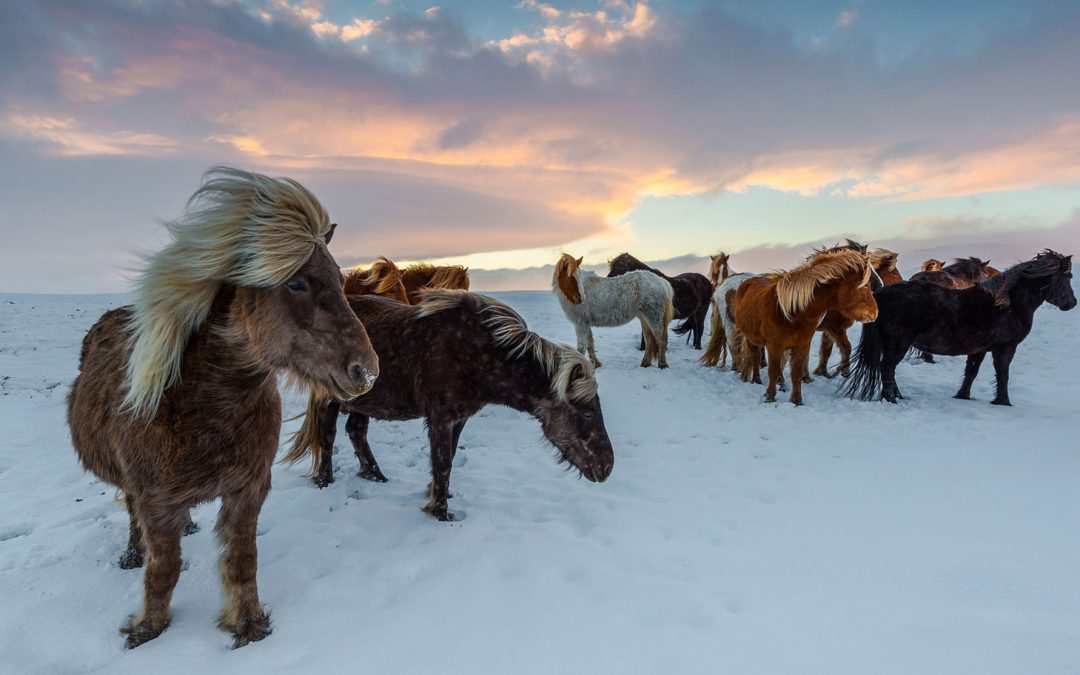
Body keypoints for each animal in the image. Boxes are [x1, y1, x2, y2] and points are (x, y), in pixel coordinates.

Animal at [66, 167, 379, 649]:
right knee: (132, 513)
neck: (204, 408)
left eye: (341, 280)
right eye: (296, 283)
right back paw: (133, 553)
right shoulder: (156, 501)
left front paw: (248, 626)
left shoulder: (248, 490)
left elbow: (242, 560)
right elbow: (163, 569)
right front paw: (147, 629)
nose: (366, 371)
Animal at [283, 291, 614, 520]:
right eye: (587, 410)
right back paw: (325, 481)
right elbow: (442, 461)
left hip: (364, 401)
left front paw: (439, 497)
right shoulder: (441, 418)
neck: (479, 352)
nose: (607, 467)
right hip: (330, 399)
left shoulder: (459, 418)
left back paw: (376, 477)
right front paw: (440, 513)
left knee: (356, 431)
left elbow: (449, 458)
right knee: (327, 436)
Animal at [734, 248, 878, 405]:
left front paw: (797, 401)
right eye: (866, 285)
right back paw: (756, 380)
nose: (875, 313)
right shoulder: (775, 345)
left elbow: (796, 373)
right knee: (755, 356)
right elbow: (773, 371)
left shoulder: (802, 345)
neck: (792, 312)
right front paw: (770, 398)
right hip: (751, 338)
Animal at [813, 248, 904, 378]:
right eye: (894, 273)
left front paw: (822, 372)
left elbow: (826, 349)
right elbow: (846, 348)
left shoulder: (829, 329)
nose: (904, 283)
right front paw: (844, 370)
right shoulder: (834, 327)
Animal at [844, 250, 1075, 405]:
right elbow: (1003, 373)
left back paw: (898, 396)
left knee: (888, 369)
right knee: (887, 368)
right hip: (898, 344)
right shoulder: (1006, 347)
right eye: (1069, 277)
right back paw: (891, 399)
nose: (1072, 303)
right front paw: (1003, 402)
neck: (1007, 303)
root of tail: (880, 294)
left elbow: (971, 372)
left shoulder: (980, 349)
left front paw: (963, 396)